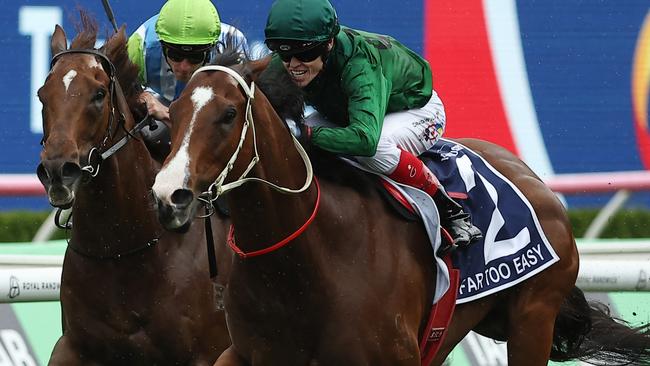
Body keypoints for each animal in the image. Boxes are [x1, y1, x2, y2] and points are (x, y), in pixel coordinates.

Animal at [36, 12, 230, 364]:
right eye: (42, 94)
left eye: (99, 94)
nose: (58, 171)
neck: (122, 250)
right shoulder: (74, 345)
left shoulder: (209, 351)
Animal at [153, 58, 648, 366]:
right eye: (172, 113)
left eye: (228, 114)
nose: (168, 195)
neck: (306, 262)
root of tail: (532, 178)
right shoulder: (246, 352)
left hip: (533, 317)